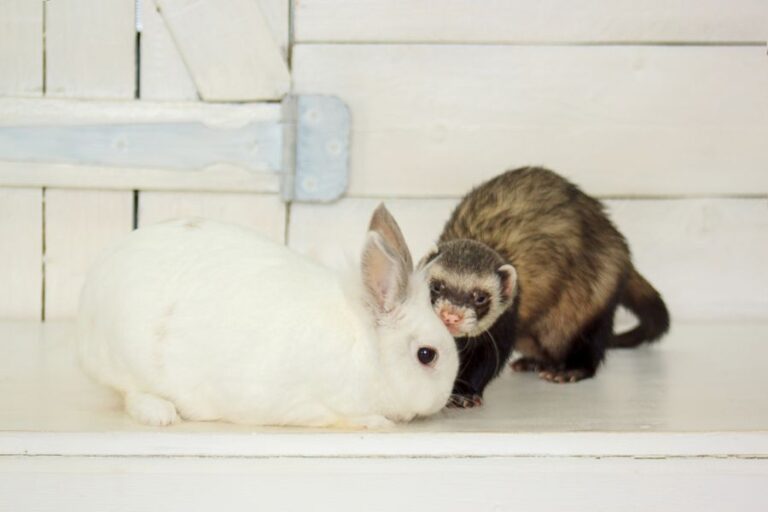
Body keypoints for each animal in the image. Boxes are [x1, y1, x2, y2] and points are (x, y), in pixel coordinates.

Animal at [76, 205, 459, 429]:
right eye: (427, 355)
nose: (444, 399)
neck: (367, 349)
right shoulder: (314, 406)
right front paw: (377, 423)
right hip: (126, 359)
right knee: (129, 392)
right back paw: (160, 414)